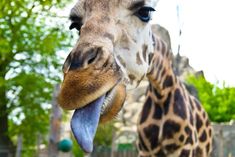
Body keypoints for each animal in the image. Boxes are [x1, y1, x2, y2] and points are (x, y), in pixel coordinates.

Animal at [57, 0, 212, 156]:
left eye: (145, 12)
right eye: (75, 25)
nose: (75, 84)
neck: (161, 94)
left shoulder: (185, 148)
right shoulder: (145, 150)